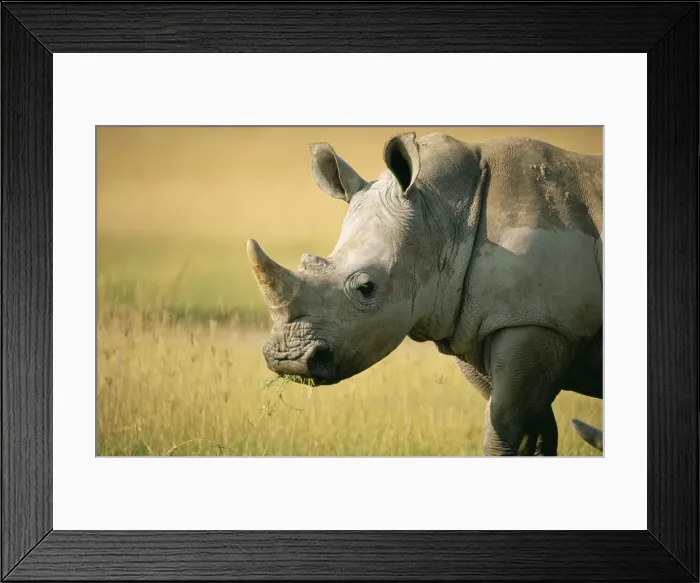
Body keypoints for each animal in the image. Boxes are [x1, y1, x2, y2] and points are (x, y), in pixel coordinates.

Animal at [247, 132, 603, 456]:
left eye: (366, 288)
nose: (287, 361)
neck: (444, 216)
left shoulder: (538, 322)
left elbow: (504, 425)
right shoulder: (472, 324)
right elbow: (536, 429)